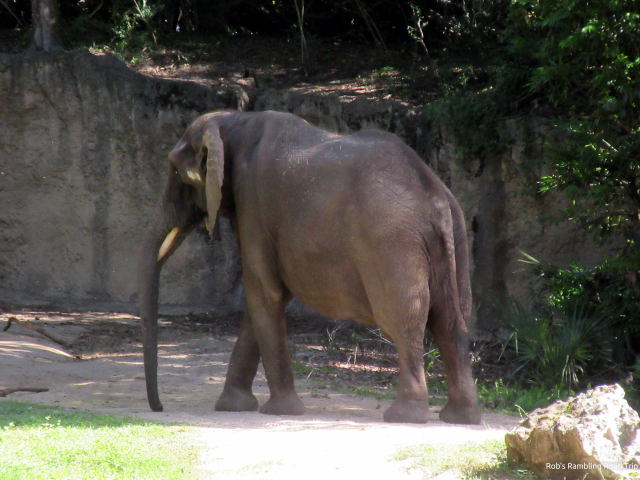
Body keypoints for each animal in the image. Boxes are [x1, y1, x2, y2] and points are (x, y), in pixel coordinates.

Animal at [138, 109, 481, 424]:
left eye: (177, 171)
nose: (159, 408)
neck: (233, 121)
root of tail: (433, 196)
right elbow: (261, 303)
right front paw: (232, 407)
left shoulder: (254, 204)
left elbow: (265, 294)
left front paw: (281, 412)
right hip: (455, 236)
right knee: (451, 322)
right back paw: (461, 417)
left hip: (392, 242)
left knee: (403, 320)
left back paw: (405, 417)